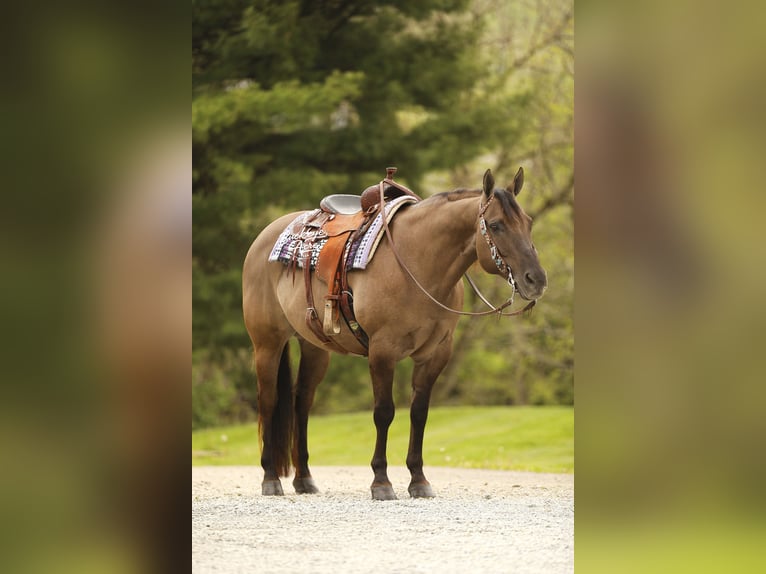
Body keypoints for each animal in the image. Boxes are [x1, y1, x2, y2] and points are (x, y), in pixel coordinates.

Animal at [242, 168, 547, 500]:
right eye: (495, 225)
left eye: (528, 222)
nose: (536, 280)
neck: (418, 263)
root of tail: (264, 237)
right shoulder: (382, 351)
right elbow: (384, 412)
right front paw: (381, 481)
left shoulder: (435, 354)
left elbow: (419, 413)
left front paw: (419, 480)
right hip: (267, 343)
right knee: (268, 400)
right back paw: (270, 478)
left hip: (314, 347)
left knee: (302, 402)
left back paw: (304, 479)